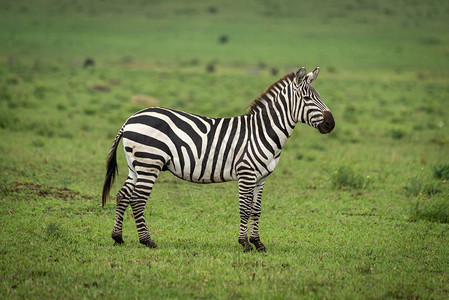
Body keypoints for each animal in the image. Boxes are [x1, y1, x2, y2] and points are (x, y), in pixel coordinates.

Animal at [101, 67, 332, 252]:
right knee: (137, 200)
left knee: (123, 196)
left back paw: (118, 237)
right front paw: (245, 244)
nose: (331, 123)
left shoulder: (261, 178)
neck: (262, 131)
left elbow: (256, 211)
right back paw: (147, 241)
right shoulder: (246, 173)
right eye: (307, 99)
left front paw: (258, 243)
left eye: (319, 96)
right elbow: (244, 209)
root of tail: (131, 118)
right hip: (150, 163)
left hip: (135, 165)